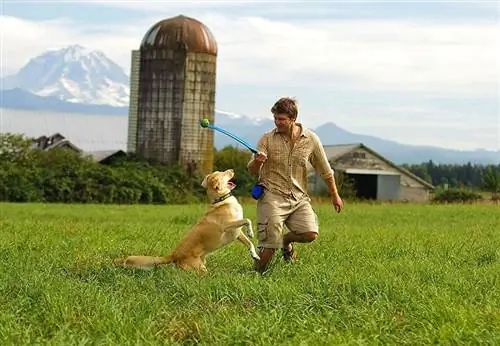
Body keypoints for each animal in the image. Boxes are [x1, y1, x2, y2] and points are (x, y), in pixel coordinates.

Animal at [114, 168, 260, 274]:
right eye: (223, 173)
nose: (232, 170)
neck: (222, 200)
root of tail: (173, 255)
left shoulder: (237, 233)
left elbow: (249, 243)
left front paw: (255, 255)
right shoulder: (227, 226)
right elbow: (247, 220)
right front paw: (251, 232)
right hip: (198, 269)